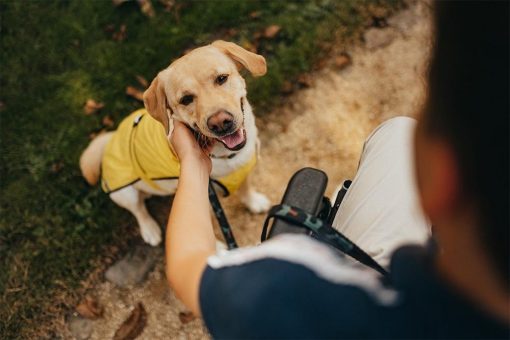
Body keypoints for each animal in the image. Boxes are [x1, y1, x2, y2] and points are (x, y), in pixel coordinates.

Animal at [78, 41, 270, 246]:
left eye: (221, 79)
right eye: (186, 99)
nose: (220, 123)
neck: (228, 157)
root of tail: (112, 137)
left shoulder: (244, 171)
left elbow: (245, 188)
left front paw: (253, 201)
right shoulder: (201, 203)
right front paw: (217, 248)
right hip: (124, 192)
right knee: (138, 210)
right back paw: (149, 229)